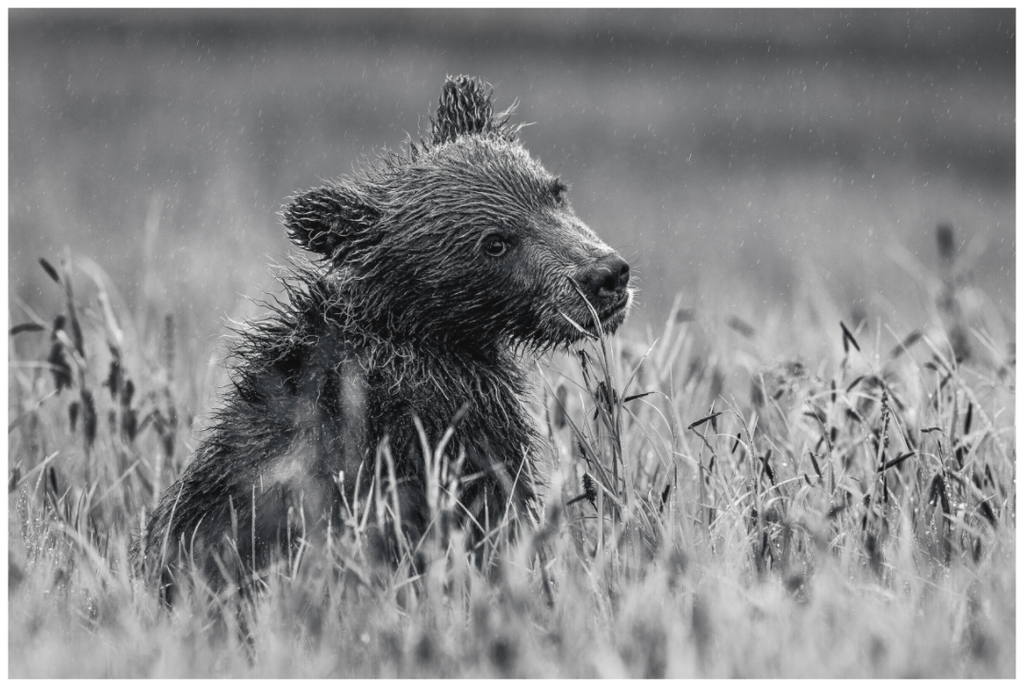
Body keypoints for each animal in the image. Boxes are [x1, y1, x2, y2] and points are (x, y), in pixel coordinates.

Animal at [132, 75, 632, 598]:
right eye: (495, 242)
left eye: (554, 192)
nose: (605, 275)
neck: (422, 331)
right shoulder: (453, 430)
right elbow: (494, 521)